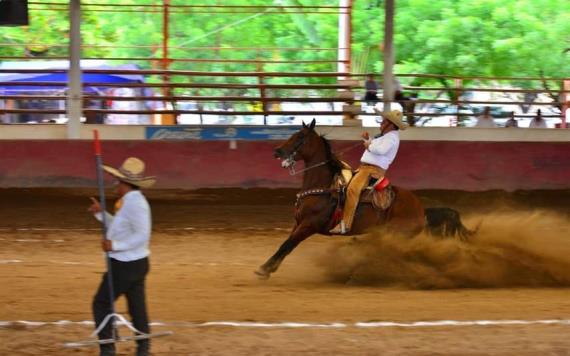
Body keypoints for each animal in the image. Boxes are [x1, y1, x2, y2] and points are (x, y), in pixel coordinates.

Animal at [255, 121, 424, 280]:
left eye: (300, 136)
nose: (277, 151)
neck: (323, 186)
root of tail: (419, 207)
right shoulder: (299, 223)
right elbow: (287, 245)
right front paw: (269, 268)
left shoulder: (309, 225)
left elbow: (287, 244)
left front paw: (263, 270)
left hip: (397, 234)